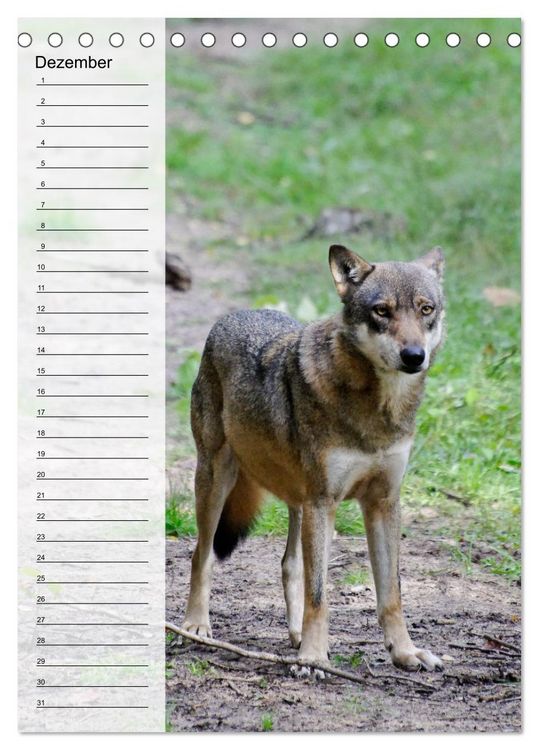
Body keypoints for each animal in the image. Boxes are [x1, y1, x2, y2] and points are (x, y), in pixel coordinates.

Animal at [183, 244, 445, 672]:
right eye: (382, 311)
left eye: (425, 309)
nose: (413, 355)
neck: (378, 411)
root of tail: (235, 314)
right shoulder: (325, 502)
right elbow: (320, 595)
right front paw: (314, 657)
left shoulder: (383, 503)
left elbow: (391, 594)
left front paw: (405, 652)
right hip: (217, 480)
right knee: (200, 557)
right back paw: (195, 625)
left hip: (298, 501)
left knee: (290, 565)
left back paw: (294, 635)